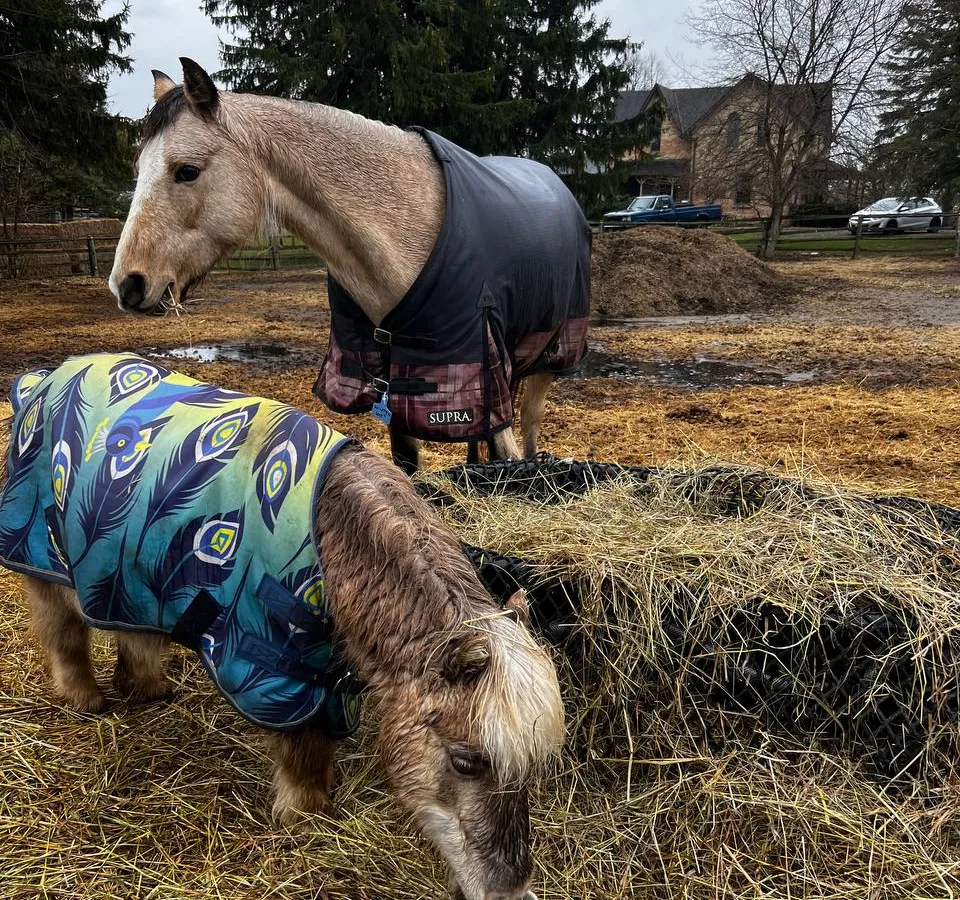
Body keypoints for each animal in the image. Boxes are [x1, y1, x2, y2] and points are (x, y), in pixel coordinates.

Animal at [0, 355, 564, 900]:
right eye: (467, 761)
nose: (510, 892)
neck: (333, 539)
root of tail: (44, 378)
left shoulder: (323, 672)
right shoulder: (275, 669)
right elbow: (303, 749)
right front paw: (307, 819)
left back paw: (147, 687)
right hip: (44, 558)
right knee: (63, 632)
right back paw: (86, 697)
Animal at [108, 58, 591, 474]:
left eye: (187, 171)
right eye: (137, 169)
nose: (128, 284)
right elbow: (408, 467)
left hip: (549, 358)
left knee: (528, 427)